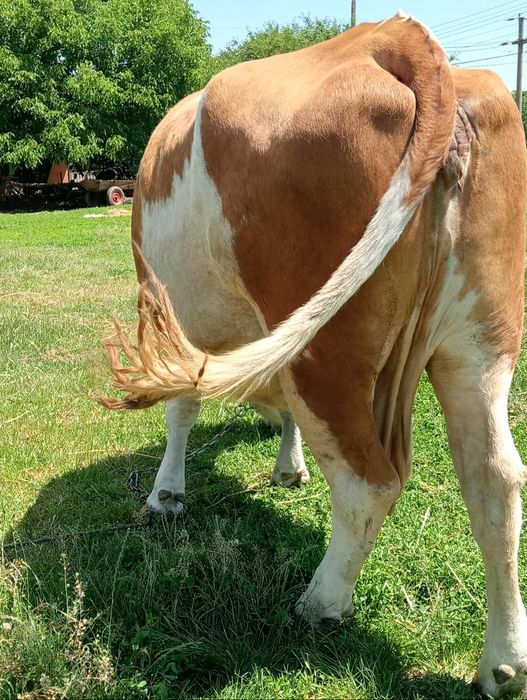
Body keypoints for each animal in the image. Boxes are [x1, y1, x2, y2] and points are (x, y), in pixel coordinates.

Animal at [100, 14, 527, 698]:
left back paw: (321, 602)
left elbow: (181, 407)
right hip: (481, 340)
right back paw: (503, 662)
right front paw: (287, 466)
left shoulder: (168, 317)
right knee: (494, 479)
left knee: (368, 481)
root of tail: (390, 37)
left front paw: (166, 496)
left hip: (328, 350)